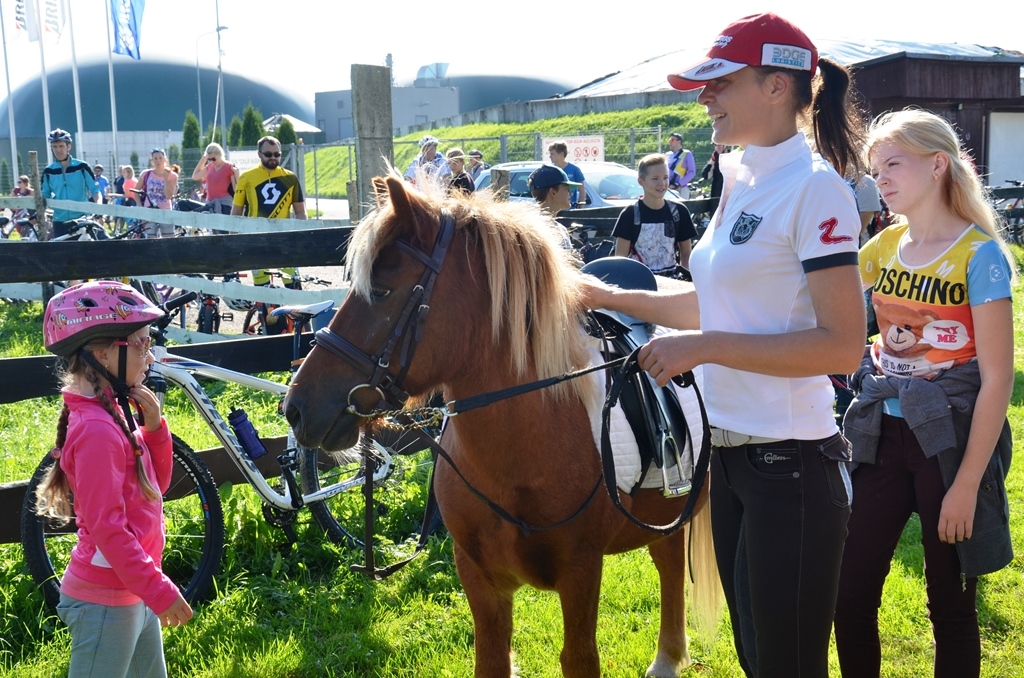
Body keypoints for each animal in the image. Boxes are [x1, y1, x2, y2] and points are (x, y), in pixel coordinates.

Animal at [284, 176, 720, 678]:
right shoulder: (479, 578)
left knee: (668, 563)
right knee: (668, 558)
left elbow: (579, 659)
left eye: (383, 289)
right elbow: (491, 659)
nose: (295, 408)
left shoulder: (581, 571)